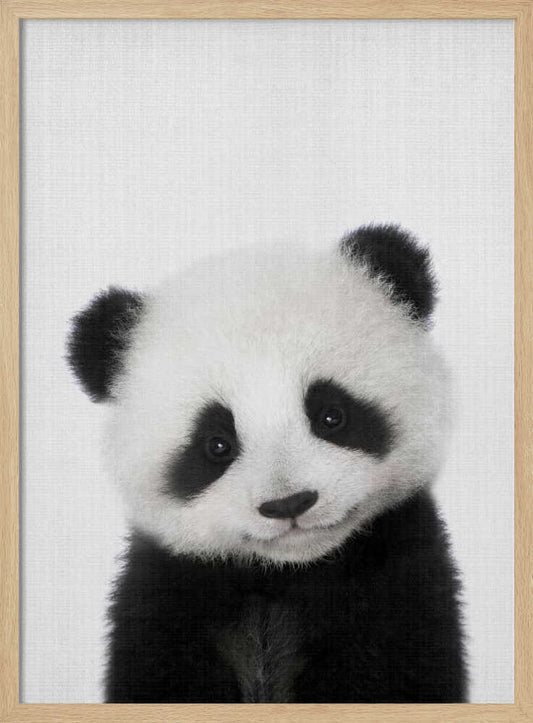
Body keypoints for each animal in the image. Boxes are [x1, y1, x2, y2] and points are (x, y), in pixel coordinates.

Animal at [67, 224, 467, 703]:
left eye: (331, 415)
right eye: (217, 444)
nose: (289, 504)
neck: (284, 576)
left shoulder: (398, 581)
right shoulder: (167, 595)